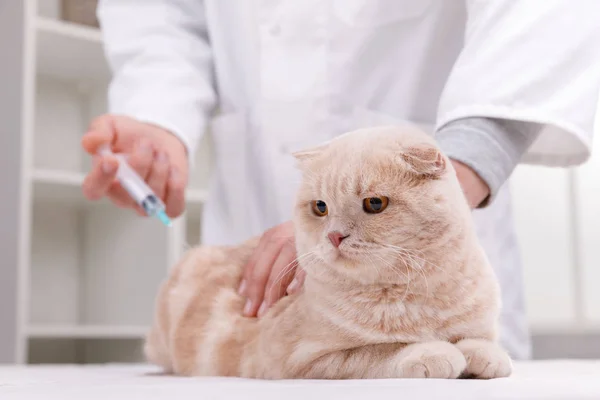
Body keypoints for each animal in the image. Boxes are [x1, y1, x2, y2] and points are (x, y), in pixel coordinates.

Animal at [144, 126, 510, 380]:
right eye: (320, 207)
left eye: (374, 203)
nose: (335, 235)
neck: (417, 294)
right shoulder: (307, 360)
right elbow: (383, 352)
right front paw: (434, 352)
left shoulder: (478, 325)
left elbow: (480, 342)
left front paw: (484, 356)